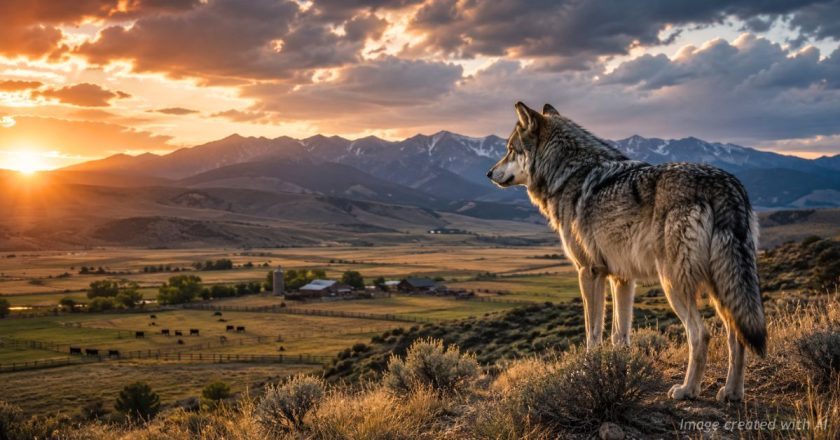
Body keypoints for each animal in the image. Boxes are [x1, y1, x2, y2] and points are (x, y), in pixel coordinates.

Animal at [487, 102, 767, 402]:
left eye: (510, 149)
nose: (489, 173)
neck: (567, 173)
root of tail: (726, 185)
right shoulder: (621, 278)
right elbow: (619, 336)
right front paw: (618, 373)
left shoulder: (589, 272)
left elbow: (592, 334)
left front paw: (586, 373)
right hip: (721, 286)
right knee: (736, 334)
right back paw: (732, 392)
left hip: (673, 284)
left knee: (700, 334)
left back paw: (687, 390)